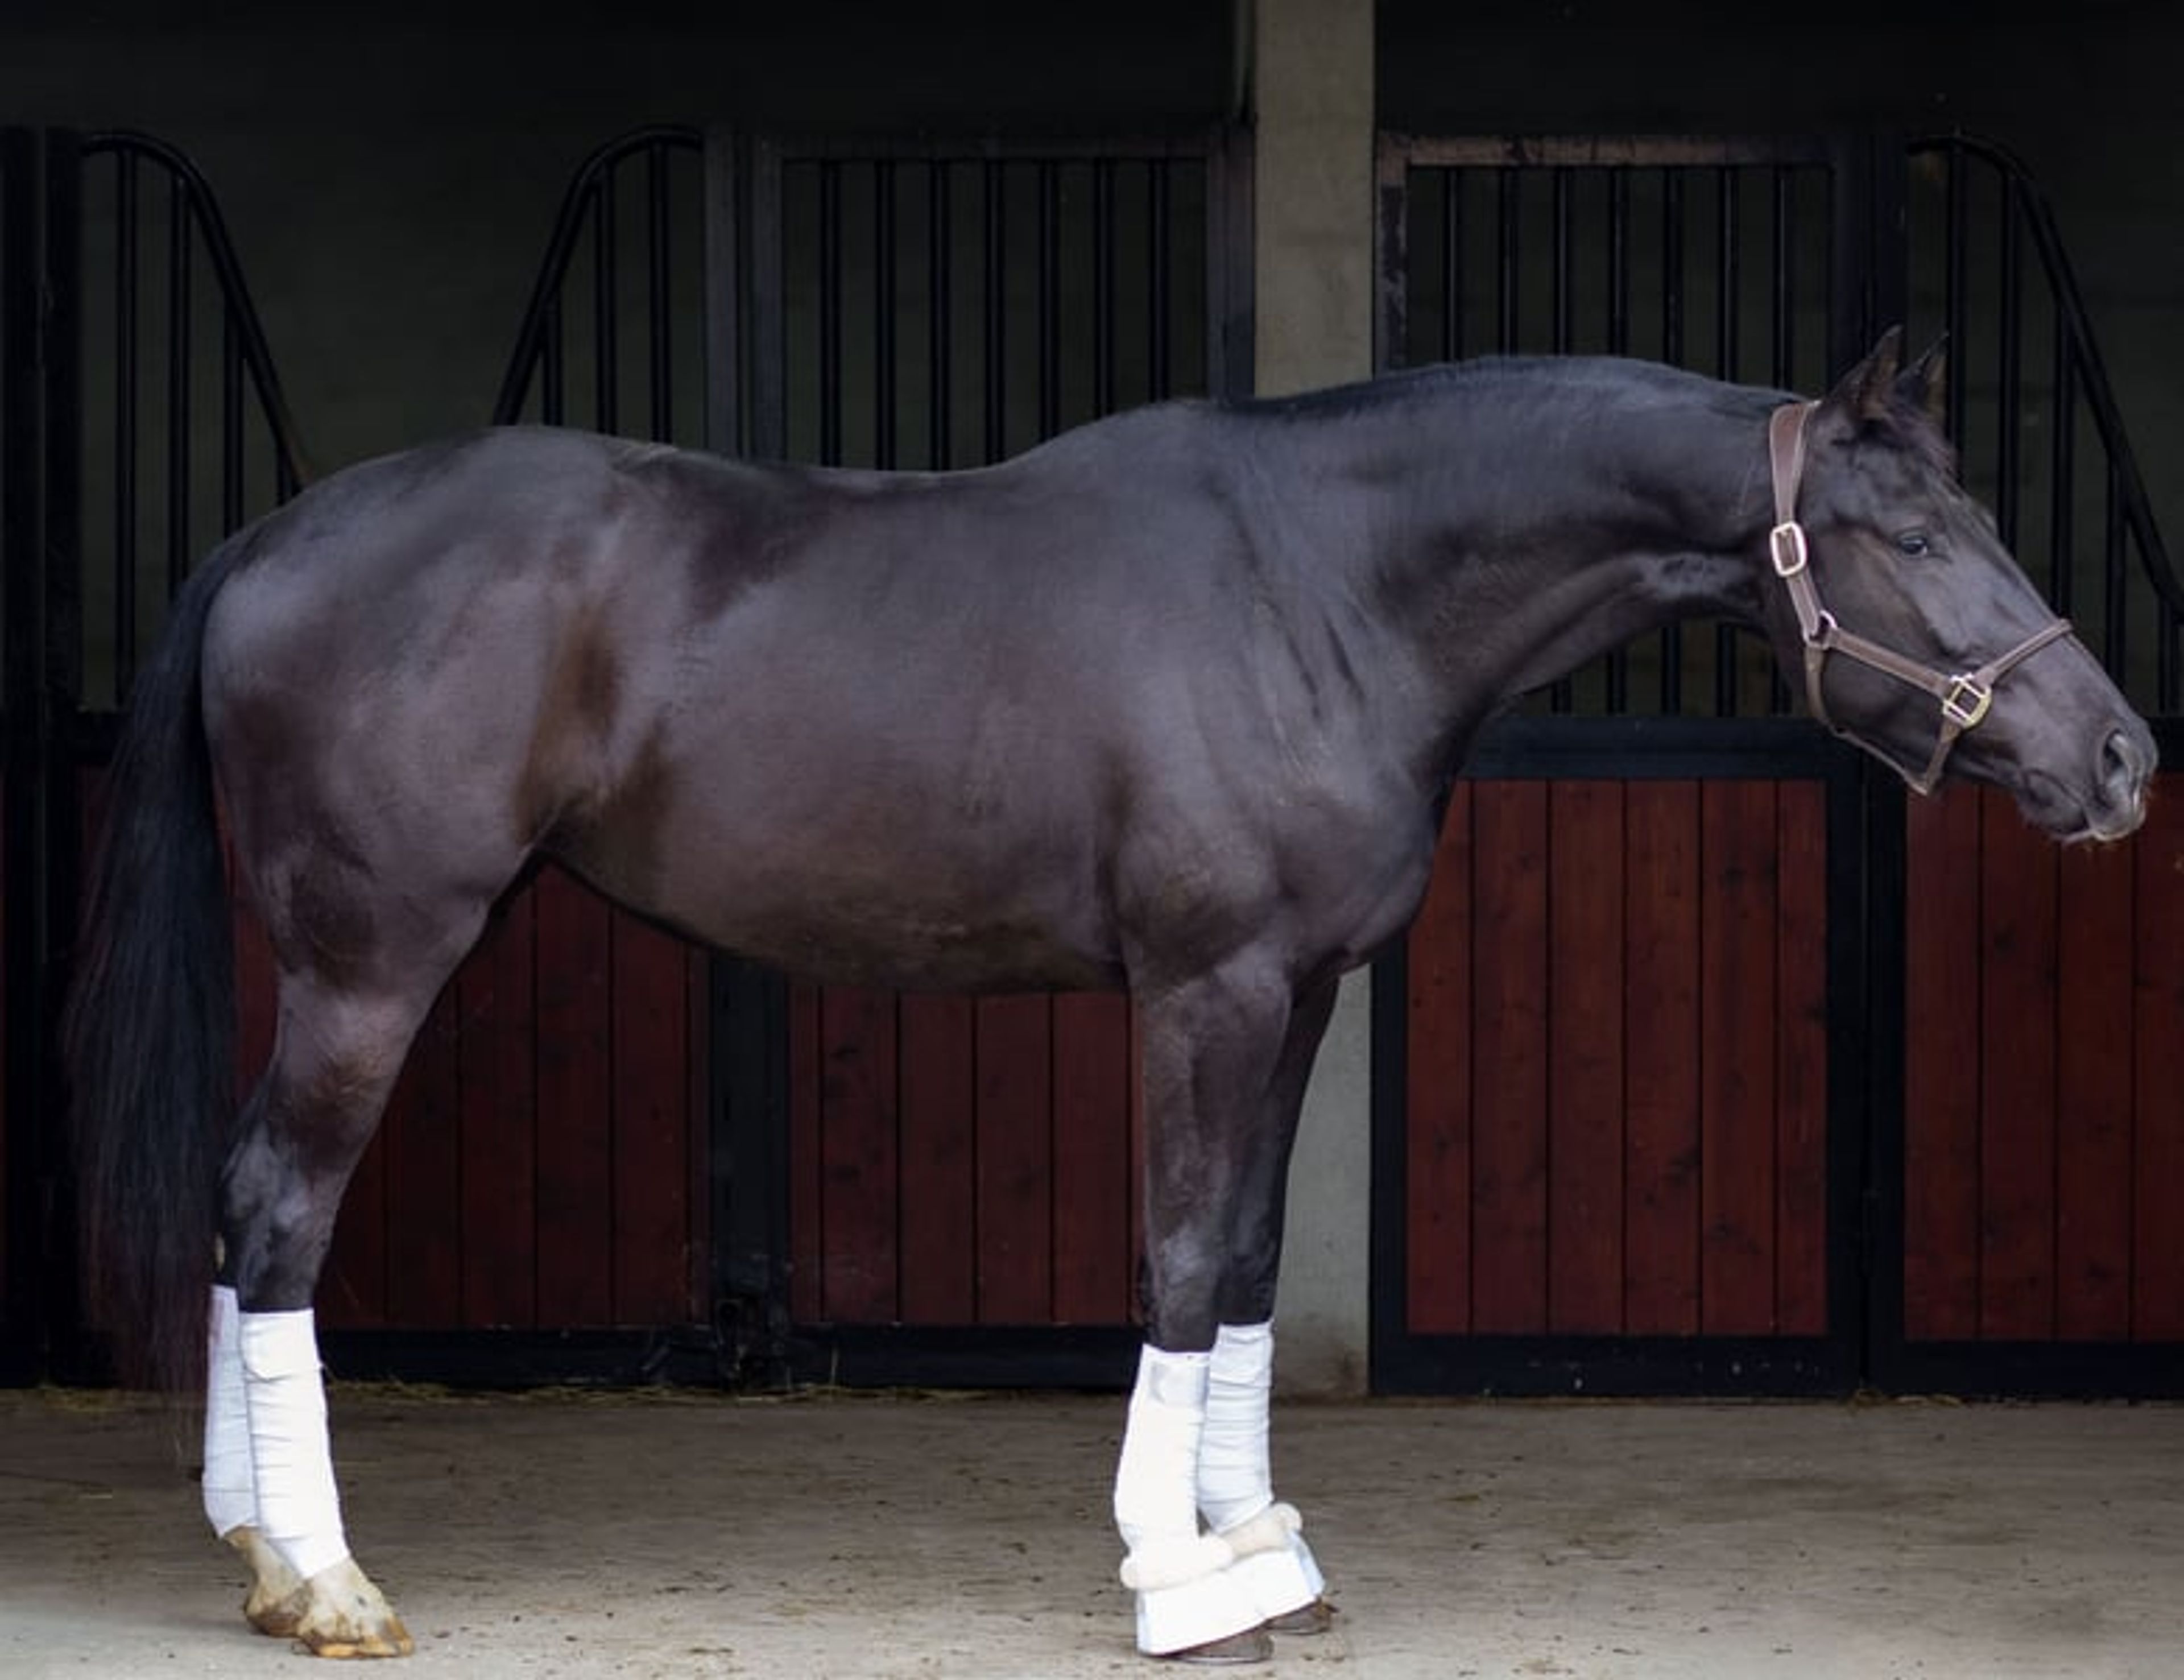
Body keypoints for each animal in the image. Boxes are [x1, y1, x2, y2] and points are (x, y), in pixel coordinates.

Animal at [65, 328, 2155, 1663]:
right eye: (1916, 535)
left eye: (1976, 515)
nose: (2122, 758)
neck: (1329, 585)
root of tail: (270, 540)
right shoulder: (1205, 989)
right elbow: (1172, 1255)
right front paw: (1171, 1573)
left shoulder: (1302, 994)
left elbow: (1245, 1260)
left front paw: (1252, 1543)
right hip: (375, 959)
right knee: (279, 1212)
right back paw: (325, 1583)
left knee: (253, 1213)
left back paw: (254, 1547)